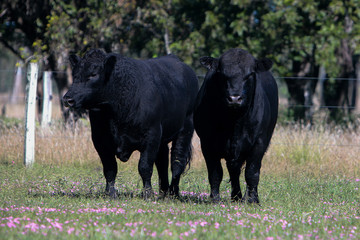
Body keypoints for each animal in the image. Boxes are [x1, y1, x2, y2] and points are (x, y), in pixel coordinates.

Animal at [62, 49, 198, 199]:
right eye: (75, 75)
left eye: (93, 74)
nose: (68, 99)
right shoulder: (100, 140)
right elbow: (110, 168)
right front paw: (110, 193)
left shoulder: (151, 136)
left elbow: (144, 167)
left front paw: (147, 194)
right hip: (162, 138)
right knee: (162, 161)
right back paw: (163, 193)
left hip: (185, 130)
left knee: (177, 162)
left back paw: (174, 193)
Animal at [194, 48, 278, 204]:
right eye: (222, 73)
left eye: (250, 74)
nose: (234, 98)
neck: (234, 122)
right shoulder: (207, 143)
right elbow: (215, 173)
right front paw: (215, 199)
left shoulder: (260, 142)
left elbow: (252, 172)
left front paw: (252, 200)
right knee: (233, 170)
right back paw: (236, 196)